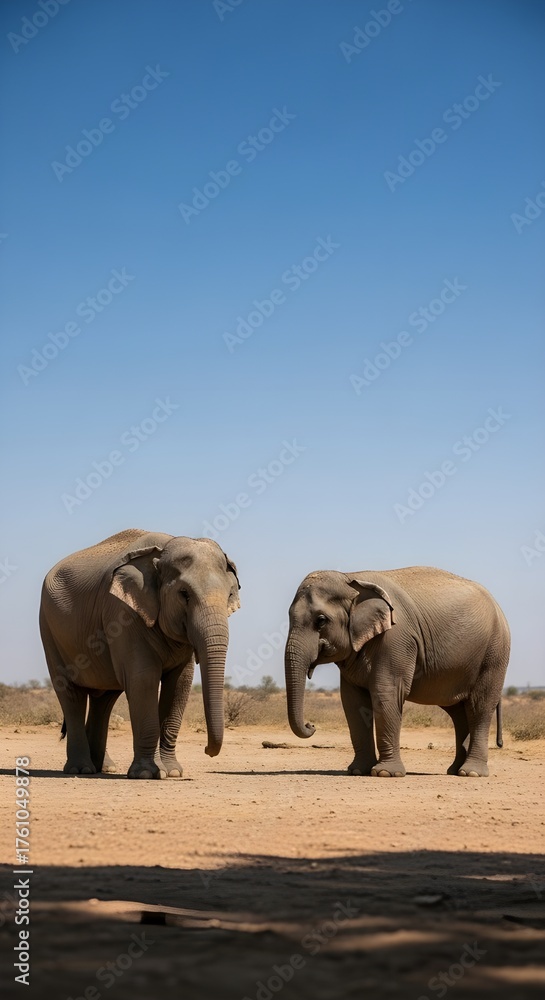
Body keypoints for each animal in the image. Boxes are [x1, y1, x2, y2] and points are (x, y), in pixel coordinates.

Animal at [39, 529, 240, 779]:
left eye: (230, 594)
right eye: (184, 594)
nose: (206, 750)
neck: (163, 551)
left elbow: (180, 684)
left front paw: (172, 772)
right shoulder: (122, 614)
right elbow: (143, 680)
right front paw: (147, 773)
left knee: (103, 700)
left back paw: (104, 768)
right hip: (49, 631)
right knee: (71, 694)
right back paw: (81, 769)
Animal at [285, 567, 510, 777]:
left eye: (321, 620)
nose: (311, 725)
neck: (350, 577)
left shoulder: (396, 639)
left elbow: (386, 692)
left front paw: (385, 773)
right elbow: (352, 701)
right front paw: (357, 771)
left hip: (495, 654)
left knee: (479, 706)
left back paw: (471, 773)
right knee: (458, 713)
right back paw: (455, 771)